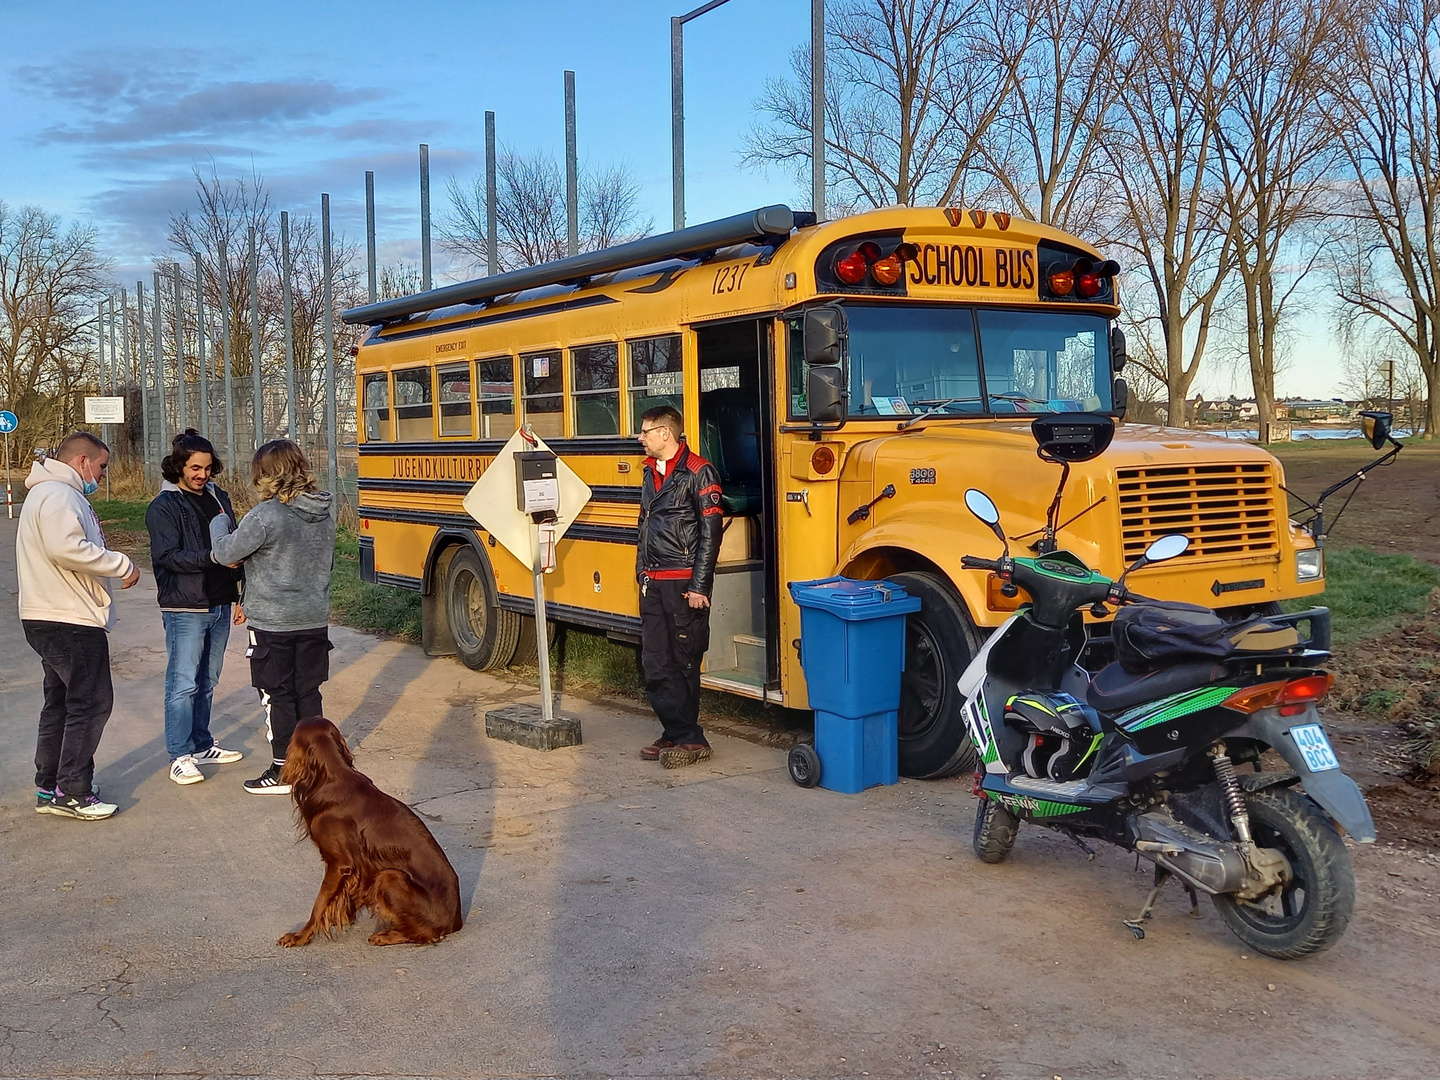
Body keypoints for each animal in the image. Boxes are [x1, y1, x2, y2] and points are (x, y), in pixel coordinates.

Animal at [275, 722, 460, 950]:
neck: (332, 777)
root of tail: (455, 923)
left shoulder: (339, 864)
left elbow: (319, 903)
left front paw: (300, 936)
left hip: (389, 877)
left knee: (425, 934)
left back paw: (385, 935)